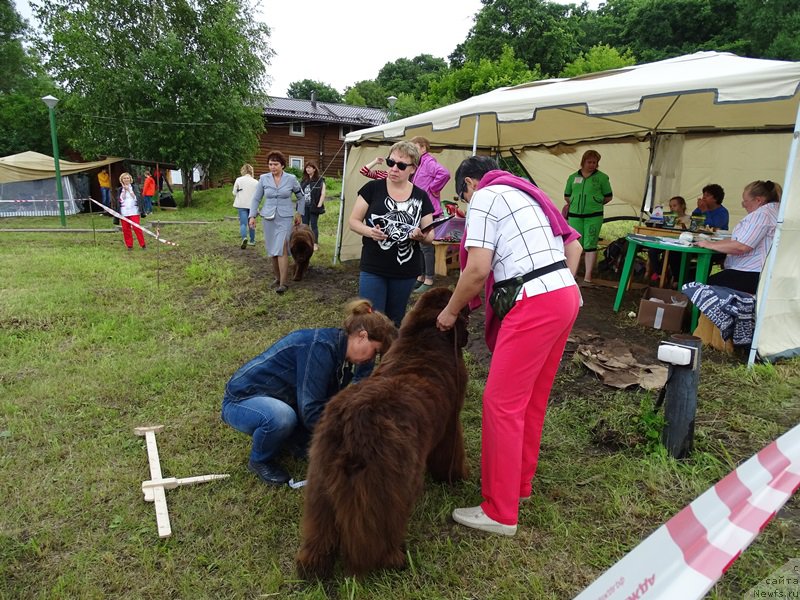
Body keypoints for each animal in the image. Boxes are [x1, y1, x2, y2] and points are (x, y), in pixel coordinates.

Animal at [296, 288, 466, 580]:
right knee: (381, 528)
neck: (426, 335)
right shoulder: (450, 425)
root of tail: (349, 423)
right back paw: (391, 560)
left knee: (320, 527)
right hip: (388, 486)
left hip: (320, 482)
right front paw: (454, 477)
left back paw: (313, 566)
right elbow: (451, 454)